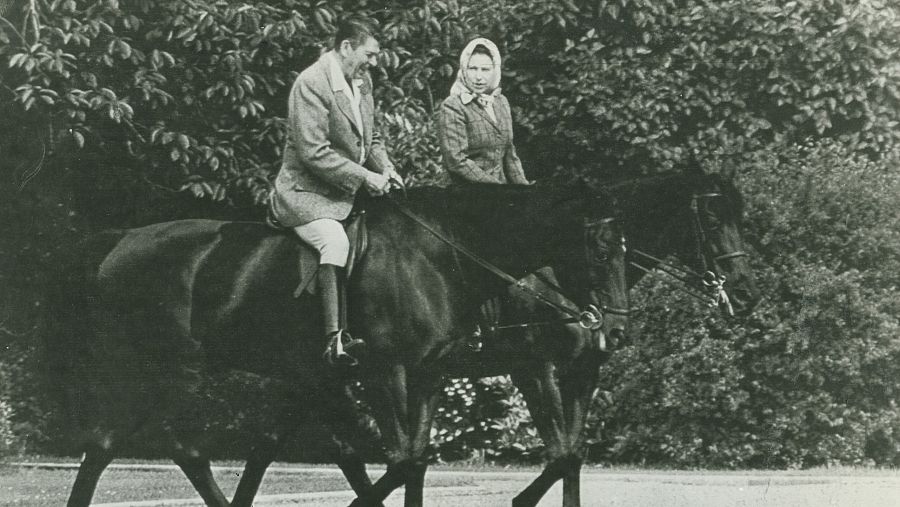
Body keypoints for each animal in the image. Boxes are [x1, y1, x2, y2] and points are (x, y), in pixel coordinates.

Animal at [46, 183, 629, 507]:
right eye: (602, 252)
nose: (614, 330)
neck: (439, 257)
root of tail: (120, 241)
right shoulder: (396, 371)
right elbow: (402, 462)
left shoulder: (427, 374)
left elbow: (416, 461)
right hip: (160, 369)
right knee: (120, 445)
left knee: (160, 448)